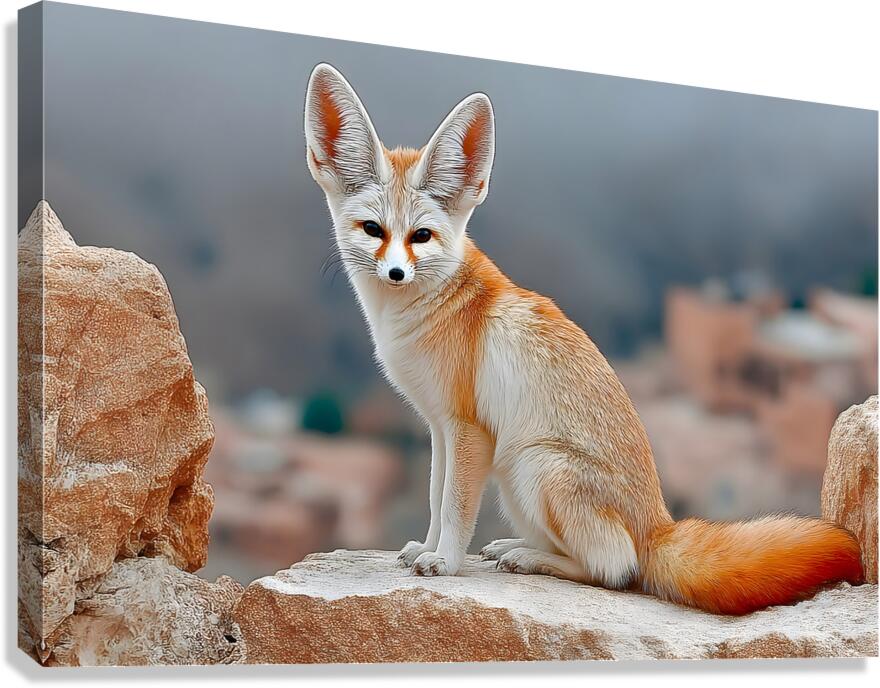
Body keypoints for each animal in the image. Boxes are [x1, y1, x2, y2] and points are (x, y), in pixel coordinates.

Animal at [303, 63, 863, 615]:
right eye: (373, 230)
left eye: (421, 236)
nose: (396, 273)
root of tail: (659, 526)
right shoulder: (439, 426)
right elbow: (437, 500)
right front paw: (426, 547)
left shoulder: (468, 429)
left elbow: (456, 508)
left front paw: (446, 563)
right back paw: (517, 548)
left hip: (530, 464)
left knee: (614, 570)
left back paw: (534, 559)